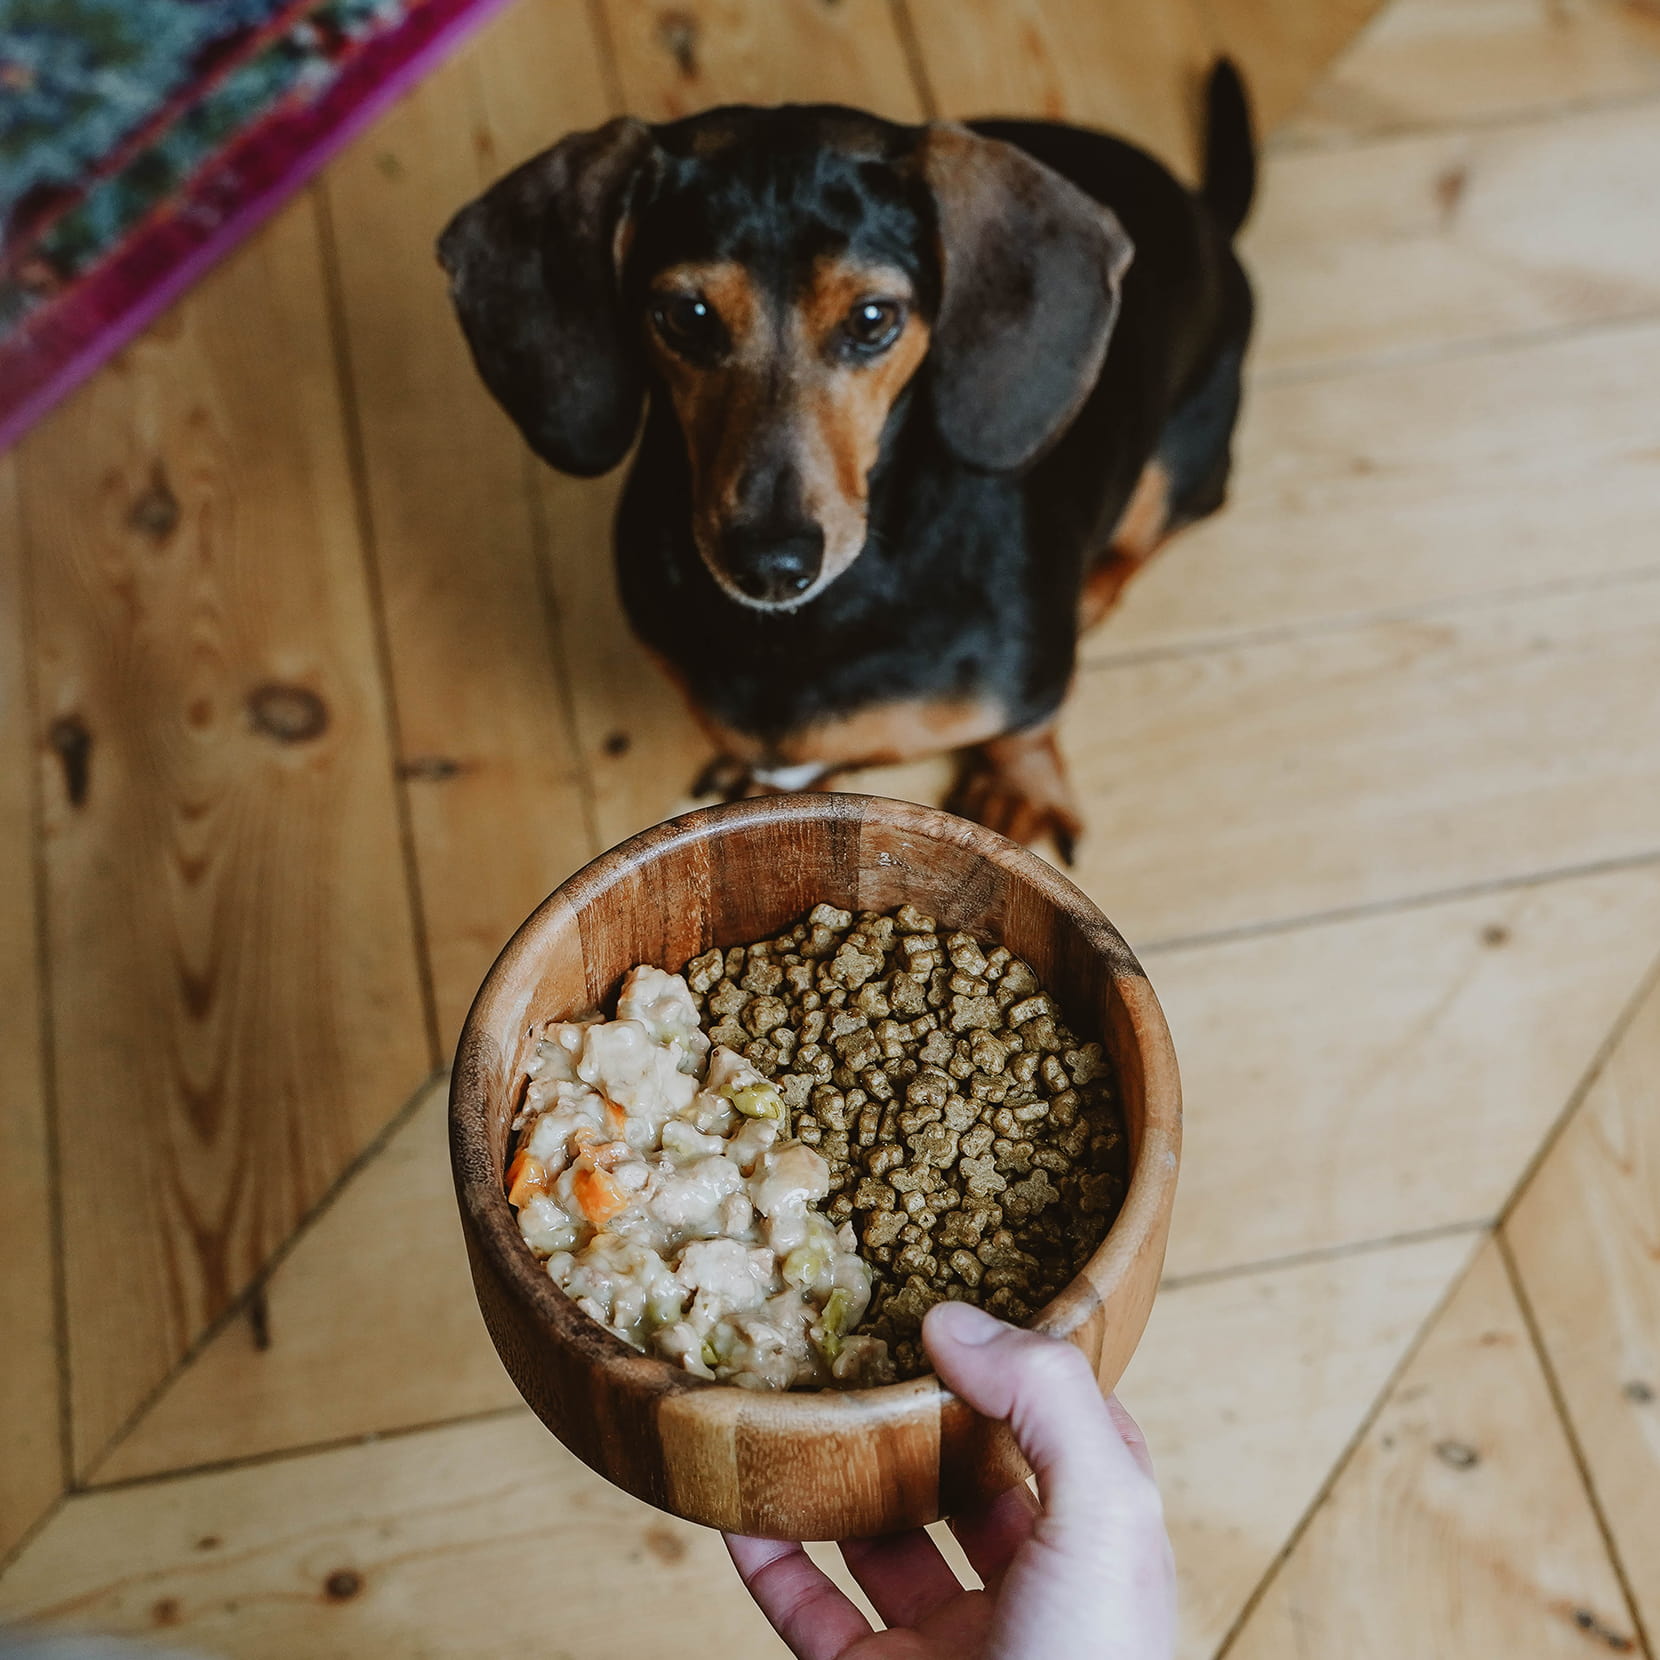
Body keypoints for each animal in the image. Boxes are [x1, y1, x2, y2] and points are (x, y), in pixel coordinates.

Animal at [441, 58, 1254, 863]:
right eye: (686, 315)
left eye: (872, 319)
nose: (771, 564)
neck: (805, 626)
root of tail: (1202, 212)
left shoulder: (1032, 687)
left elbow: (1026, 729)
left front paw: (1019, 787)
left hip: (1181, 460)